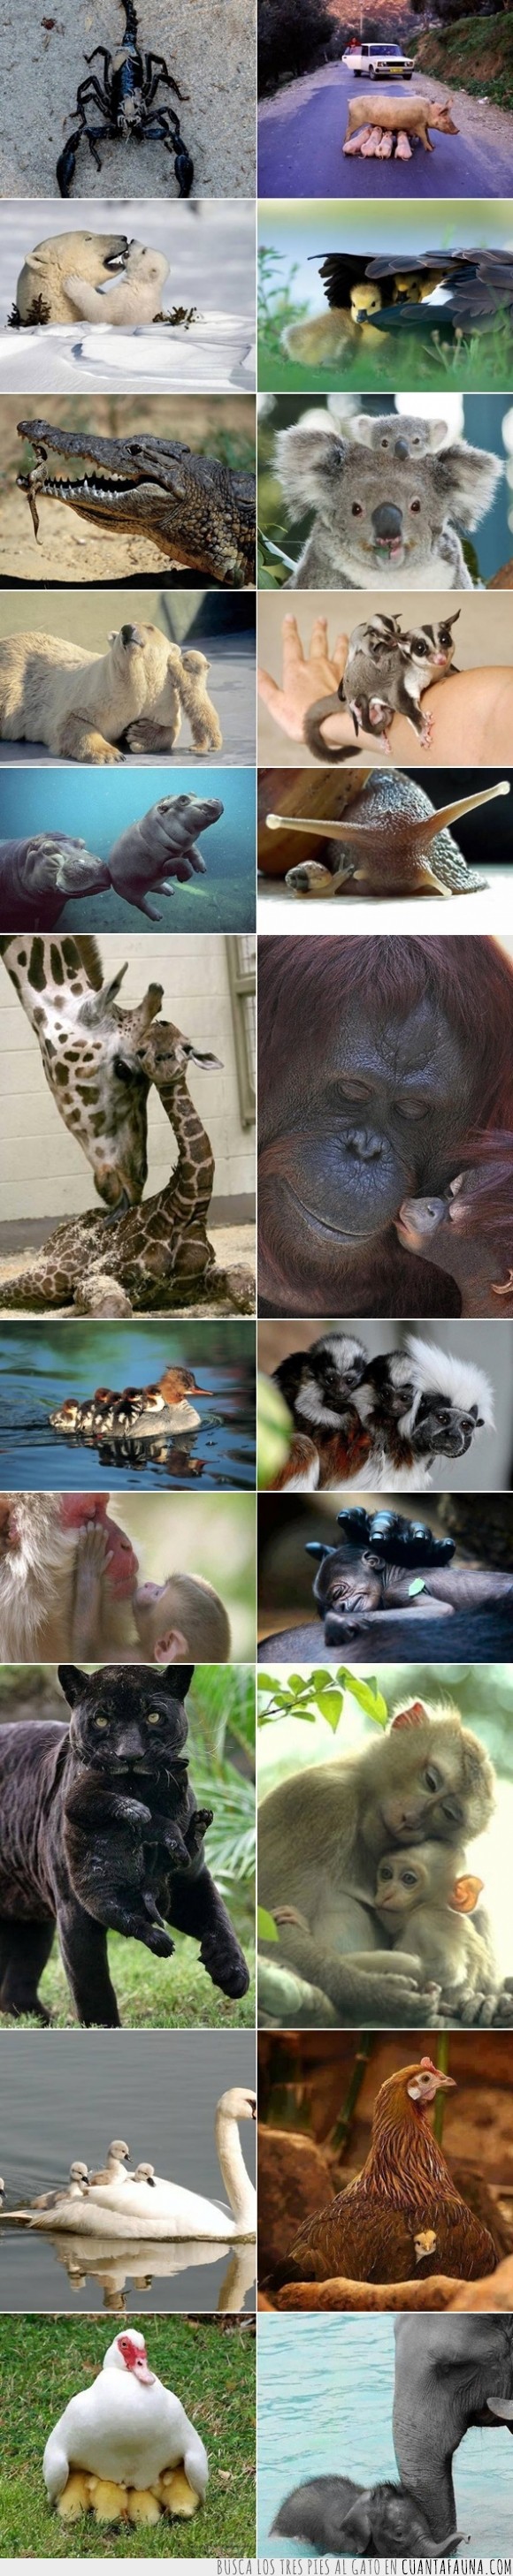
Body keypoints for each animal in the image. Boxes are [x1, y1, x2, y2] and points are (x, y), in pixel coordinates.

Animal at [0, 1019, 238, 1314]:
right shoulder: (97, 1274)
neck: (186, 1207)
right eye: (142, 1051)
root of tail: (55, 1234)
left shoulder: (198, 1280)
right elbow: (115, 1305)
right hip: (54, 1275)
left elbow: (244, 1281)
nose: (166, 1065)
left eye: (187, 1046)